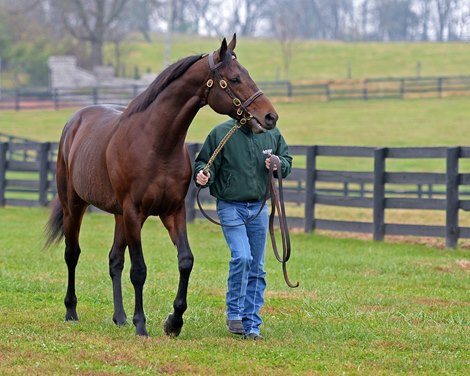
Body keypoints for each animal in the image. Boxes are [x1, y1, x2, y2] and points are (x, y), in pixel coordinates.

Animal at [45, 33, 276, 336]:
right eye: (235, 78)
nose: (270, 116)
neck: (156, 143)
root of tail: (75, 121)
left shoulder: (173, 212)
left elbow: (185, 261)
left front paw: (174, 321)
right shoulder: (135, 213)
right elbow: (139, 270)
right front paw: (141, 324)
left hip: (118, 215)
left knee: (114, 260)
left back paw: (119, 317)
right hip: (75, 205)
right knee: (72, 254)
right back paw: (72, 310)